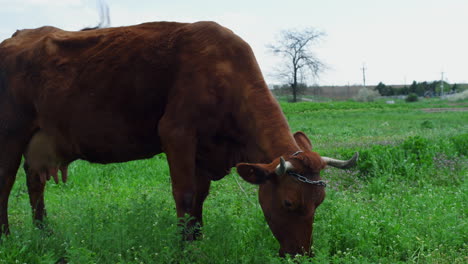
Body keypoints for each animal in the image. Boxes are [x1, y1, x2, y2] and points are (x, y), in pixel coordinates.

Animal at [0, 21, 358, 256]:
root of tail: (16, 37)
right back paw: (6, 236)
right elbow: (184, 195)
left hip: (38, 142)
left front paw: (196, 240)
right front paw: (184, 247)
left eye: (319, 202)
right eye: (288, 203)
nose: (302, 254)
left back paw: (44, 233)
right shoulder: (177, 133)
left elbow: (199, 197)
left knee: (35, 184)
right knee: (5, 184)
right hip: (10, 134)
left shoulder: (204, 150)